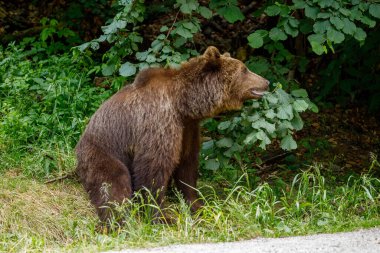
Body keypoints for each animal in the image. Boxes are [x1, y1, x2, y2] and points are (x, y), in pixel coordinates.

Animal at [75, 46, 268, 221]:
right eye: (244, 69)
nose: (266, 81)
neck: (182, 104)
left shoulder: (188, 129)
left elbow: (187, 166)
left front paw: (197, 205)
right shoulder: (159, 121)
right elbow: (153, 167)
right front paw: (161, 216)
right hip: (101, 151)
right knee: (112, 183)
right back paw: (117, 218)